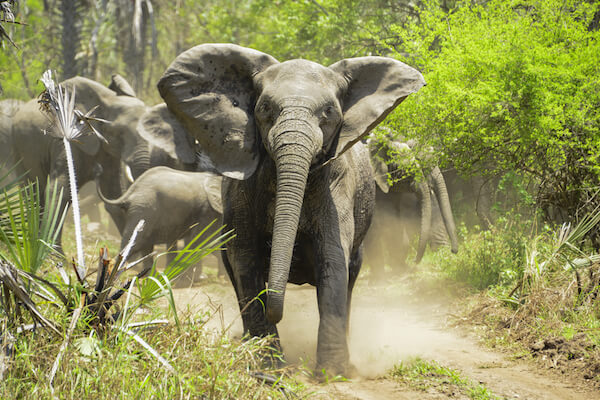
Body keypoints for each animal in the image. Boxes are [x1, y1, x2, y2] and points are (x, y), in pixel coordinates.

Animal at [138, 43, 424, 376]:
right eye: (264, 110)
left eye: (329, 113)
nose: (279, 312)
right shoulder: (243, 192)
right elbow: (245, 260)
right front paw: (268, 369)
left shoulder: (337, 184)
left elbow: (332, 257)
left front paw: (332, 373)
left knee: (351, 274)